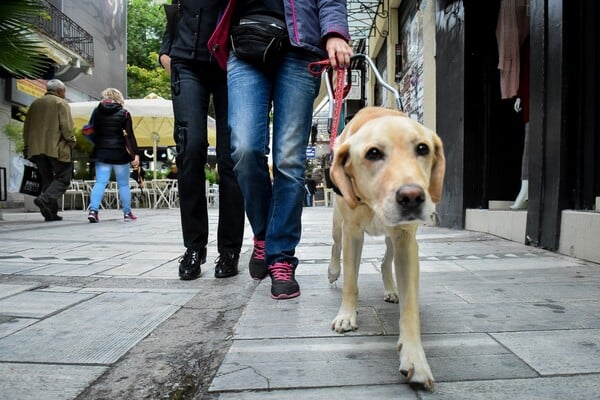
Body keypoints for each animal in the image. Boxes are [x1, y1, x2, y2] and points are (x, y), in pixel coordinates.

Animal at [326, 105, 442, 388]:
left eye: (423, 148)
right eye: (373, 153)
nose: (412, 197)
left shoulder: (406, 241)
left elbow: (410, 308)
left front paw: (415, 358)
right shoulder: (352, 233)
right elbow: (351, 283)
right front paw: (347, 315)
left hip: (393, 238)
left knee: (384, 262)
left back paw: (391, 289)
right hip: (338, 224)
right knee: (335, 247)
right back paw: (333, 271)